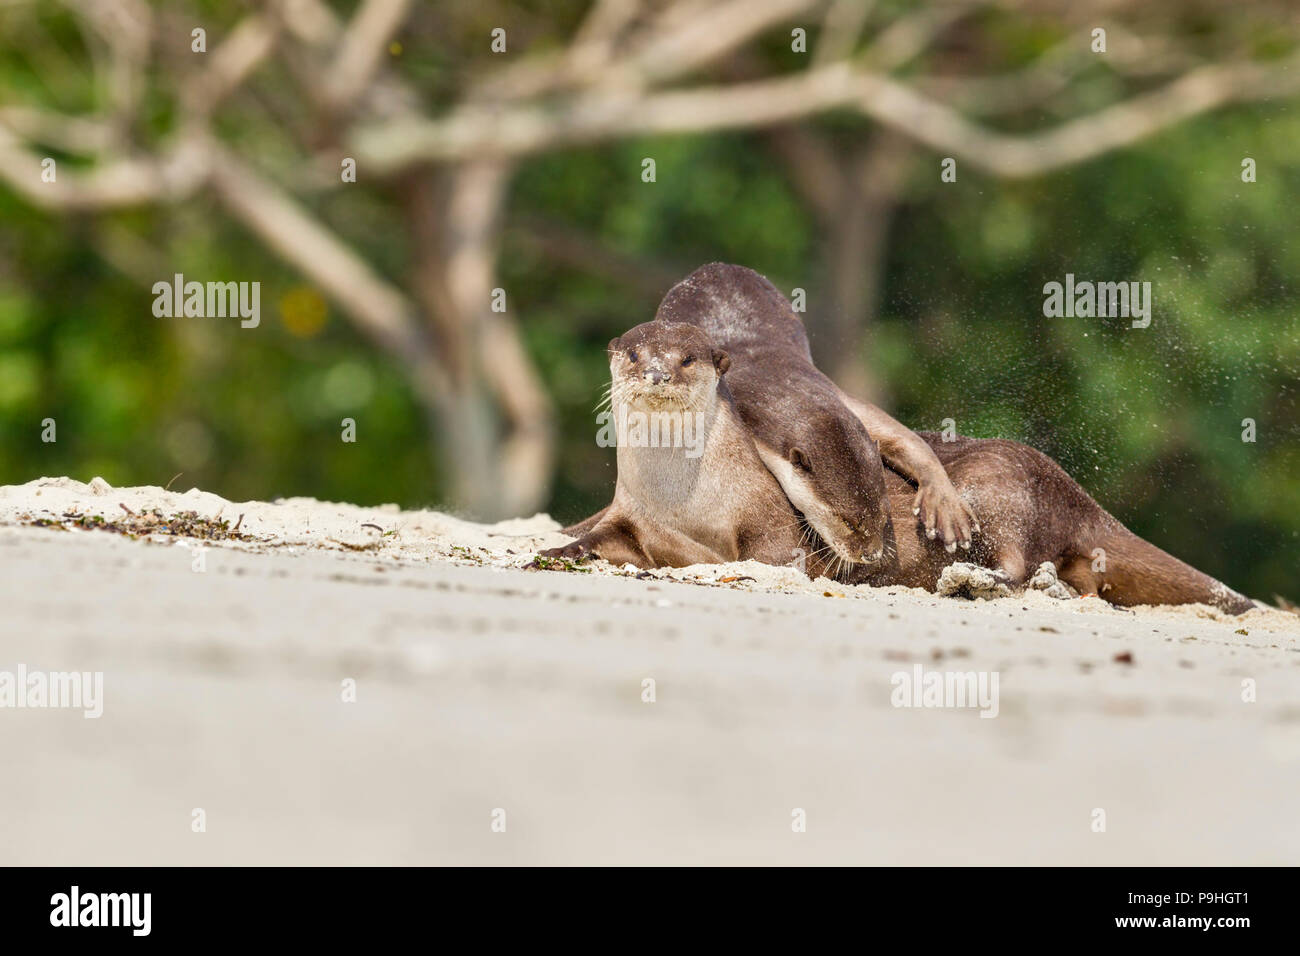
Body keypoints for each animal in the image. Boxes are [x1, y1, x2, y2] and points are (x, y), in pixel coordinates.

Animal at [538, 317, 1248, 608]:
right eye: (635, 354)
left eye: (686, 358)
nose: (657, 371)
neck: (683, 500)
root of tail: (1076, 495)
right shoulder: (634, 515)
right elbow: (601, 539)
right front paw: (554, 550)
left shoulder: (767, 523)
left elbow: (766, 557)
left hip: (999, 485)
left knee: (1019, 559)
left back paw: (970, 579)